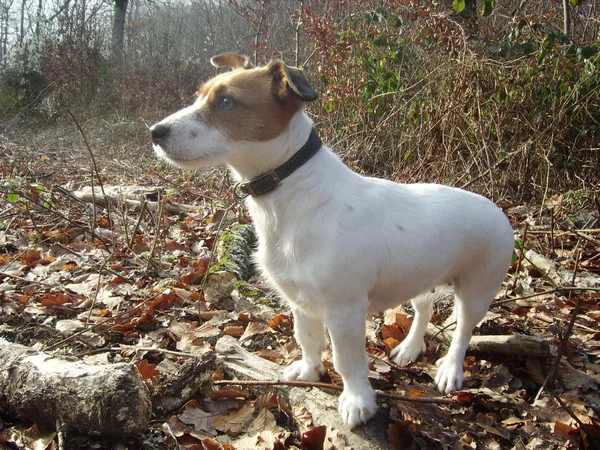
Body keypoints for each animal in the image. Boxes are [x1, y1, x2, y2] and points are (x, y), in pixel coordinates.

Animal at [151, 54, 516, 428]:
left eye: (226, 101)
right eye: (199, 96)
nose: (155, 132)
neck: (292, 192)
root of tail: (498, 210)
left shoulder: (344, 310)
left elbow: (347, 360)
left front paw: (357, 400)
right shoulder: (298, 300)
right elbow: (308, 339)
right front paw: (310, 370)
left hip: (477, 291)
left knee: (462, 333)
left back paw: (450, 370)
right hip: (420, 276)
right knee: (424, 308)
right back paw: (411, 347)